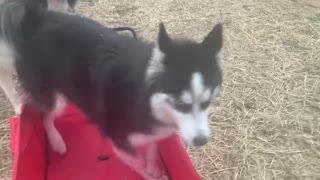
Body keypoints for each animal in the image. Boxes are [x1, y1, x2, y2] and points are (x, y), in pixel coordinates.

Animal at [0, 0, 222, 179]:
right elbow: (137, 161)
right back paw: (56, 141)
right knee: (45, 116)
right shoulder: (119, 140)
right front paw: (149, 175)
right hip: (55, 97)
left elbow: (152, 148)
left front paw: (153, 167)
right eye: (181, 103)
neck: (146, 97)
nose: (202, 140)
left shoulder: (154, 131)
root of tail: (36, 16)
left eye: (207, 101)